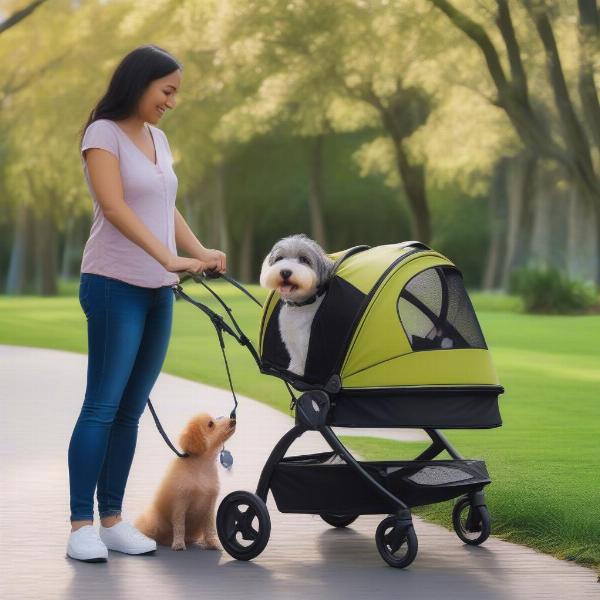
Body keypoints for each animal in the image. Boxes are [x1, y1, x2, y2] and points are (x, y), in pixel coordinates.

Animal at [258, 233, 336, 378]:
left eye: (304, 259)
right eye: (279, 258)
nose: (285, 272)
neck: (300, 306)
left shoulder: (306, 341)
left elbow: (305, 358)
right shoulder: (291, 338)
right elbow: (295, 357)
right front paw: (294, 370)